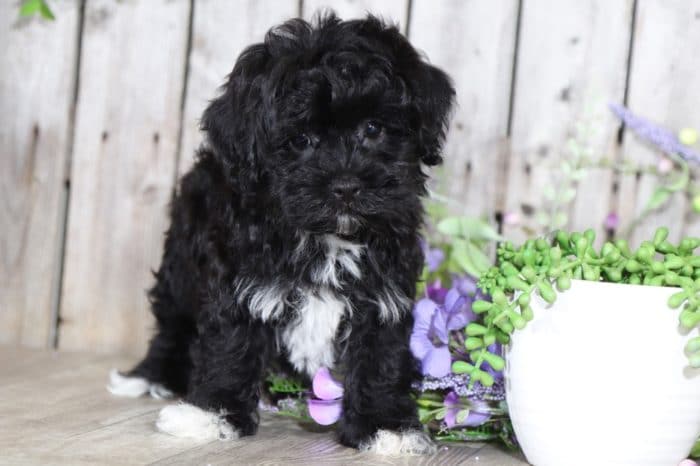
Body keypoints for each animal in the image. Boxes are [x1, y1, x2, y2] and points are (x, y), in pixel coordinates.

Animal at [108, 11, 454, 456]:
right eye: (301, 139)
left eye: (374, 128)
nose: (346, 186)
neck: (327, 238)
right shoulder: (237, 281)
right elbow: (230, 342)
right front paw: (213, 413)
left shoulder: (383, 293)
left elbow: (381, 354)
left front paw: (384, 425)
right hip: (180, 264)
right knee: (172, 320)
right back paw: (152, 374)